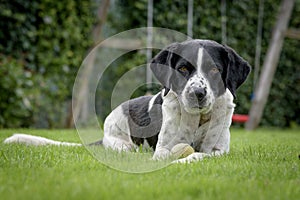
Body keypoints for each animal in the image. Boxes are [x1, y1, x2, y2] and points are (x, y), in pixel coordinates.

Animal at [4, 39, 251, 164]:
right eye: (182, 69)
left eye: (214, 70)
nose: (197, 93)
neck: (198, 118)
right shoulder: (163, 149)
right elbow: (171, 153)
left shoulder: (219, 150)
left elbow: (202, 154)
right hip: (122, 145)